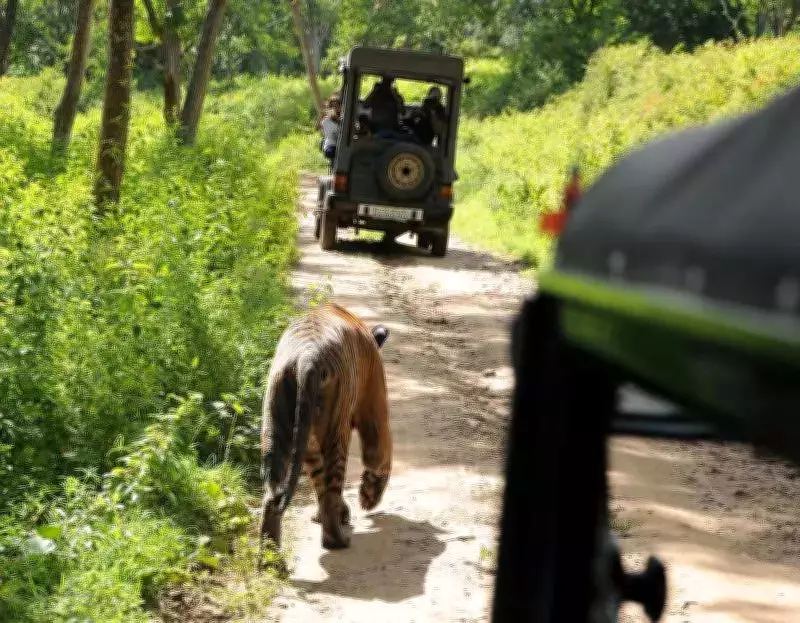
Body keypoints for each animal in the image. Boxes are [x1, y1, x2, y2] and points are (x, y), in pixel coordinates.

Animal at [258, 302, 392, 557]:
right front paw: (369, 496)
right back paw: (338, 539)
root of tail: (306, 359)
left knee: (274, 496)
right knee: (331, 489)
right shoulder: (373, 404)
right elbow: (379, 453)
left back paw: (271, 558)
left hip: (276, 428)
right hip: (336, 433)